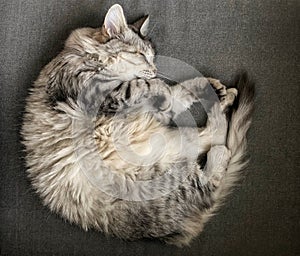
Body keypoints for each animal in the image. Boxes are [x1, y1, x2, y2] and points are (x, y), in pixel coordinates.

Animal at [21, 4, 255, 246]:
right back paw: (220, 139)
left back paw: (225, 97)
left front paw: (209, 85)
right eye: (142, 55)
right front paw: (162, 85)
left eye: (152, 57)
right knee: (210, 169)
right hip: (163, 182)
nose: (154, 69)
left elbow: (178, 90)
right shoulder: (99, 93)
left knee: (213, 139)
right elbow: (150, 85)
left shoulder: (147, 108)